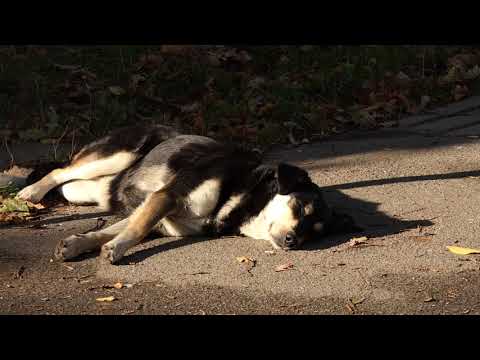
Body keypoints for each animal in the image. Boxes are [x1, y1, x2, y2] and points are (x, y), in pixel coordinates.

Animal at [16, 125, 358, 262]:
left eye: (315, 233)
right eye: (300, 208)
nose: (293, 242)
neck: (244, 196)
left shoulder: (159, 215)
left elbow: (124, 227)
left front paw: (80, 244)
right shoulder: (168, 196)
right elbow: (135, 229)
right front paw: (114, 250)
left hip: (87, 191)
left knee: (69, 183)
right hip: (116, 154)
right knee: (59, 171)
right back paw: (30, 192)